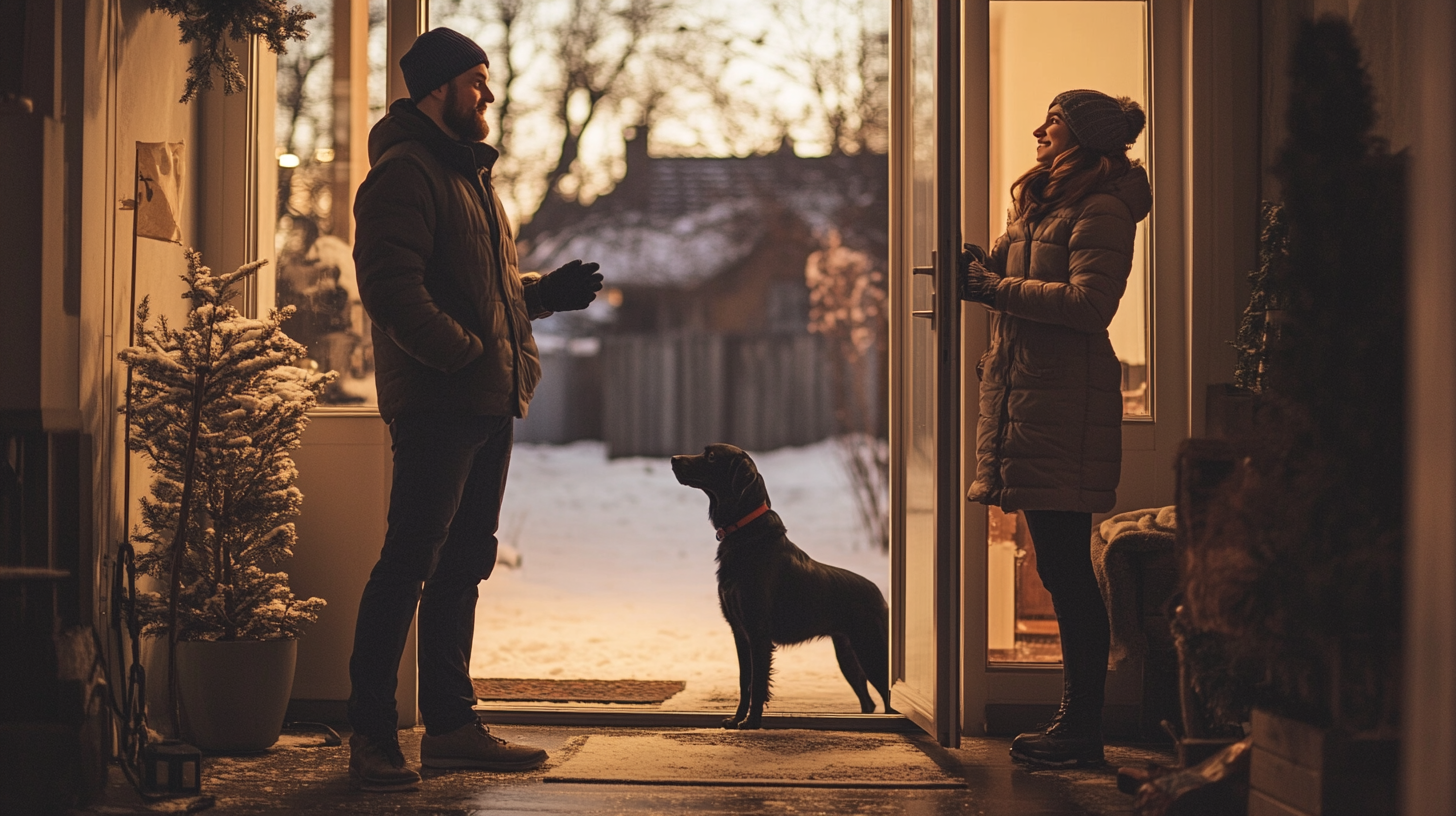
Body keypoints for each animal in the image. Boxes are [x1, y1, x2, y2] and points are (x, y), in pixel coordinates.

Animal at [666, 442, 891, 728]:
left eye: (712, 455)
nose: (673, 459)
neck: (745, 533)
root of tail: (881, 596)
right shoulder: (740, 632)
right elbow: (745, 681)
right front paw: (735, 720)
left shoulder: (758, 632)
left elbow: (758, 683)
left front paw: (751, 724)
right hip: (848, 654)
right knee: (869, 701)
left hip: (871, 651)